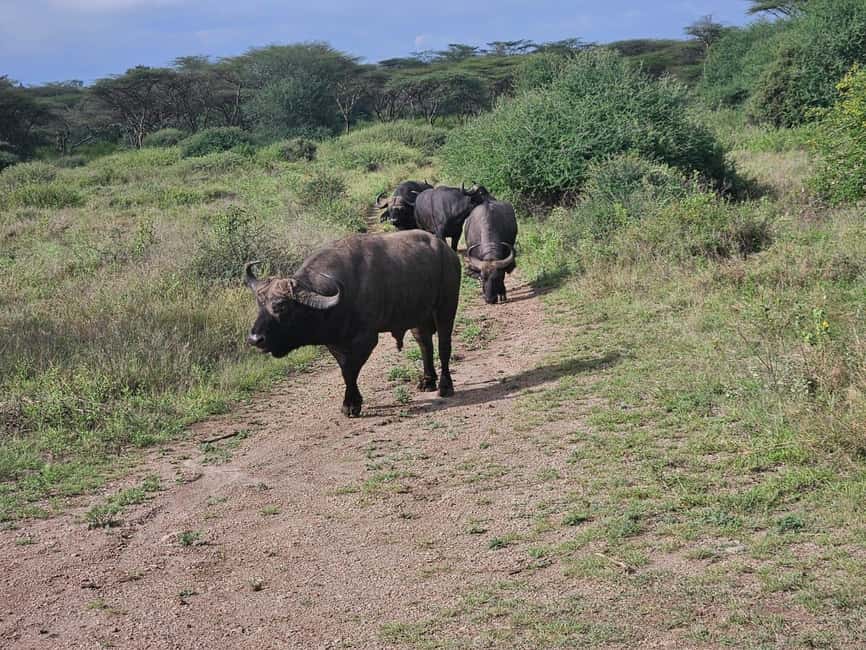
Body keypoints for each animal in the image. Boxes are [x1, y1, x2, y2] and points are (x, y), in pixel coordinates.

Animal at [245, 230, 461, 417]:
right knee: (424, 343)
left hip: (446, 308)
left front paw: (351, 404)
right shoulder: (334, 342)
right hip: (419, 316)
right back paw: (428, 381)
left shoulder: (366, 339)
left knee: (444, 346)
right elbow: (344, 369)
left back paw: (445, 386)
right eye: (259, 303)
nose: (255, 339)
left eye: (281, 306)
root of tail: (447, 251)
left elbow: (351, 369)